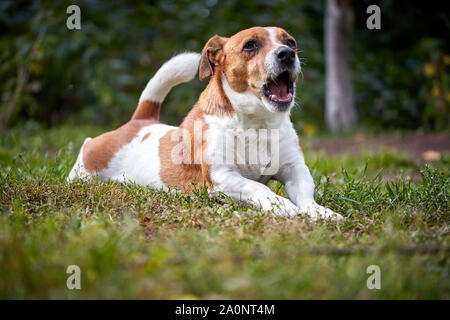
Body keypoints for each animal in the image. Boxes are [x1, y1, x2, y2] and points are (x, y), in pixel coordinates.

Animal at [67, 26, 342, 220]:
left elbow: (305, 194)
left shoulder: (295, 169)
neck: (256, 124)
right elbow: (259, 188)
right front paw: (282, 205)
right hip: (88, 166)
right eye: (250, 45)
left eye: (290, 42)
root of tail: (140, 121)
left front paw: (319, 211)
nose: (288, 53)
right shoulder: (222, 176)